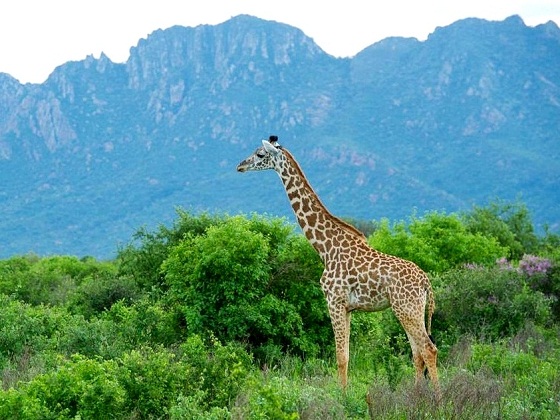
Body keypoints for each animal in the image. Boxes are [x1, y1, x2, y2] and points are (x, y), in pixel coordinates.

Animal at [234, 135, 440, 394]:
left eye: (260, 154)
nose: (239, 166)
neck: (325, 248)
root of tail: (426, 282)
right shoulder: (348, 307)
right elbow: (347, 355)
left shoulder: (334, 301)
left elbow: (340, 357)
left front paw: (343, 397)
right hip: (410, 310)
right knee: (417, 353)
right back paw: (416, 394)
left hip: (407, 308)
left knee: (428, 349)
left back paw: (437, 397)